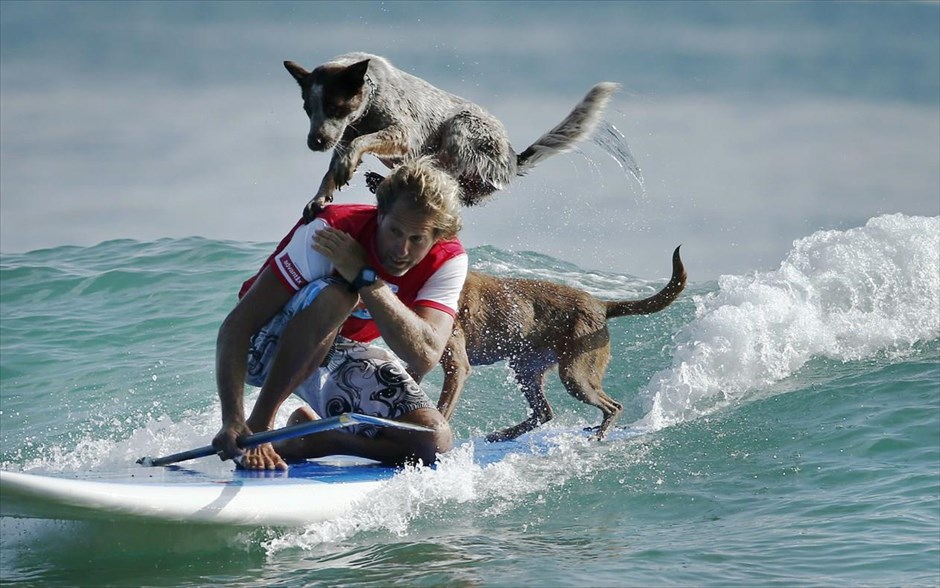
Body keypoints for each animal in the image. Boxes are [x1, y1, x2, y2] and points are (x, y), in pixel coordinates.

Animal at [436, 247, 688, 440]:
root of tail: (601, 305)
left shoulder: (457, 366)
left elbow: (441, 412)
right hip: (526, 369)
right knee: (544, 412)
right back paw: (503, 435)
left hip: (575, 375)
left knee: (612, 406)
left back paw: (599, 434)